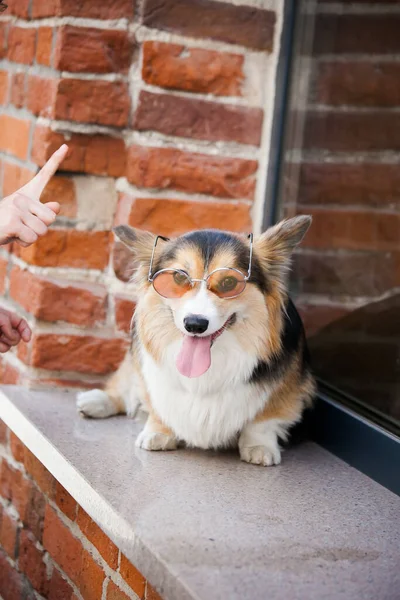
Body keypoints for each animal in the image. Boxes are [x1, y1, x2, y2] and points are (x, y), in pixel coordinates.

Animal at [76, 217, 316, 468]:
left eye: (229, 282)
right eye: (179, 277)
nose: (195, 324)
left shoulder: (286, 391)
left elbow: (263, 421)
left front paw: (260, 447)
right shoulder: (153, 380)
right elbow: (156, 405)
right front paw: (157, 433)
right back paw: (95, 401)